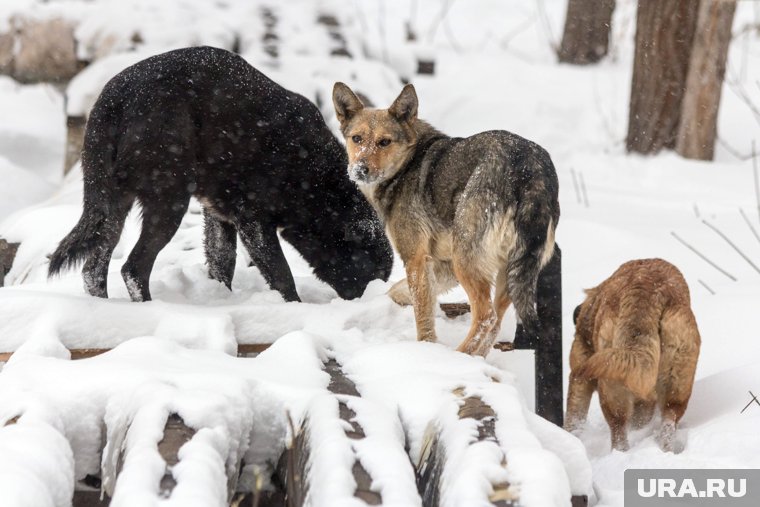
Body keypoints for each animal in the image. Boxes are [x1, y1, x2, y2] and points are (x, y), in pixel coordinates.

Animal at [49, 46, 392, 302]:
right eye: (374, 272)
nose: (373, 297)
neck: (315, 178)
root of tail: (115, 99)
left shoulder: (218, 215)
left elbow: (222, 261)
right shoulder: (254, 222)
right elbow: (281, 275)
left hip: (111, 207)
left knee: (93, 269)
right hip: (168, 201)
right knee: (133, 269)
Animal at [332, 83, 560, 358]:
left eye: (384, 142)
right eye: (357, 139)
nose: (360, 170)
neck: (406, 165)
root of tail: (531, 169)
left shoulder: (415, 258)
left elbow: (422, 314)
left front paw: (426, 349)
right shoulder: (441, 262)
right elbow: (400, 291)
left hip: (467, 261)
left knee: (486, 317)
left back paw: (458, 358)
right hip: (509, 269)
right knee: (495, 322)